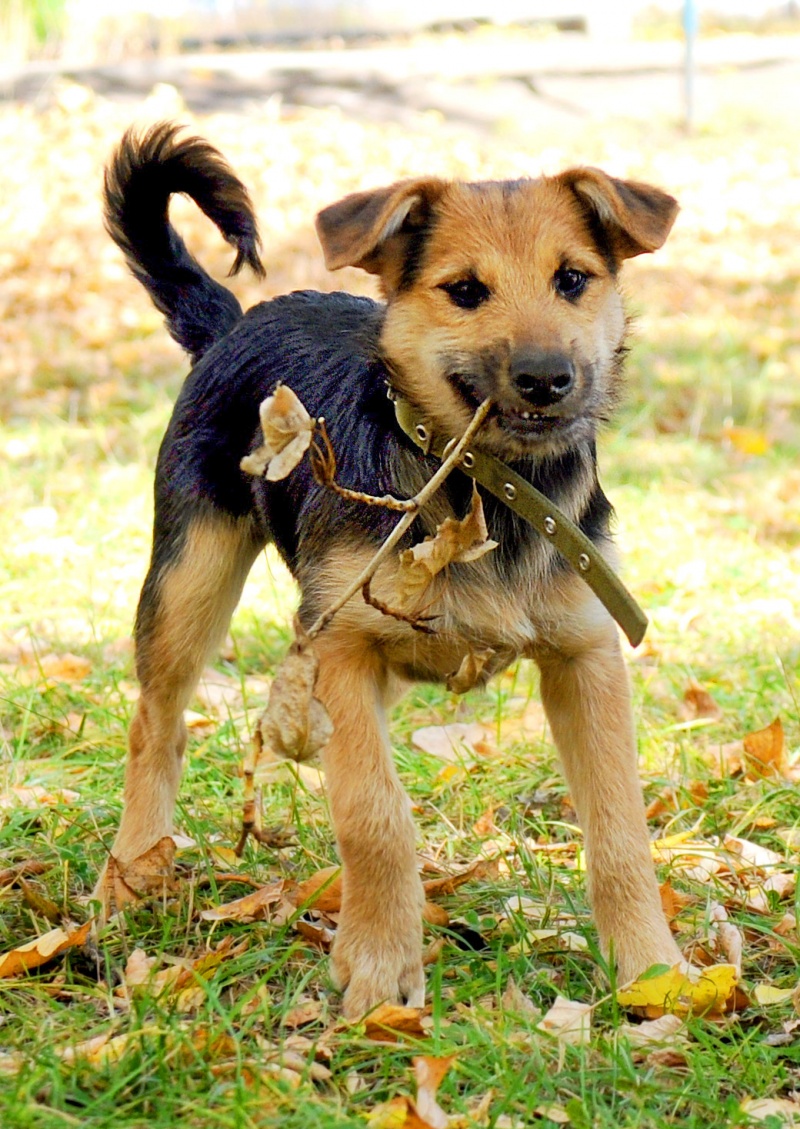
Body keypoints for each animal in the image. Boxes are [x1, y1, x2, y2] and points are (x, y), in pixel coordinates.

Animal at [99, 121, 681, 1016]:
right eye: (466, 291)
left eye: (573, 279)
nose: (547, 379)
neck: (481, 491)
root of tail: (233, 323)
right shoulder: (342, 646)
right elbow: (374, 810)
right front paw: (378, 971)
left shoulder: (587, 655)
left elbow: (619, 826)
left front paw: (652, 970)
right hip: (189, 581)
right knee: (155, 722)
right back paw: (135, 871)